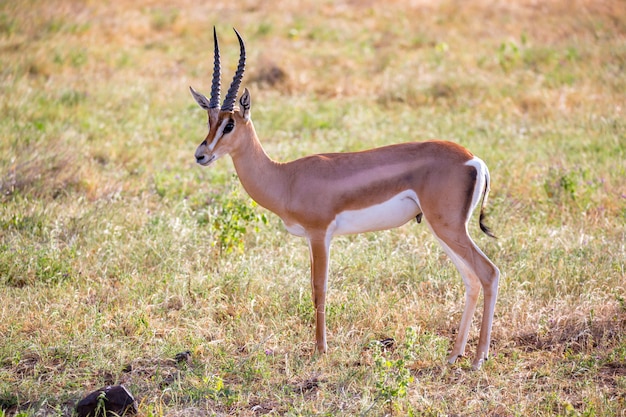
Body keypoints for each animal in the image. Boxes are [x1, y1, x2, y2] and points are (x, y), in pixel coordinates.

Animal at [188, 27, 500, 368]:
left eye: (230, 124)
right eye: (209, 121)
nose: (201, 154)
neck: (286, 178)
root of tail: (474, 160)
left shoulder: (319, 233)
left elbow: (319, 288)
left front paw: (320, 349)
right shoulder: (312, 238)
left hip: (448, 228)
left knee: (489, 273)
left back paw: (478, 358)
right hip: (442, 229)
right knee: (471, 280)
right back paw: (455, 354)